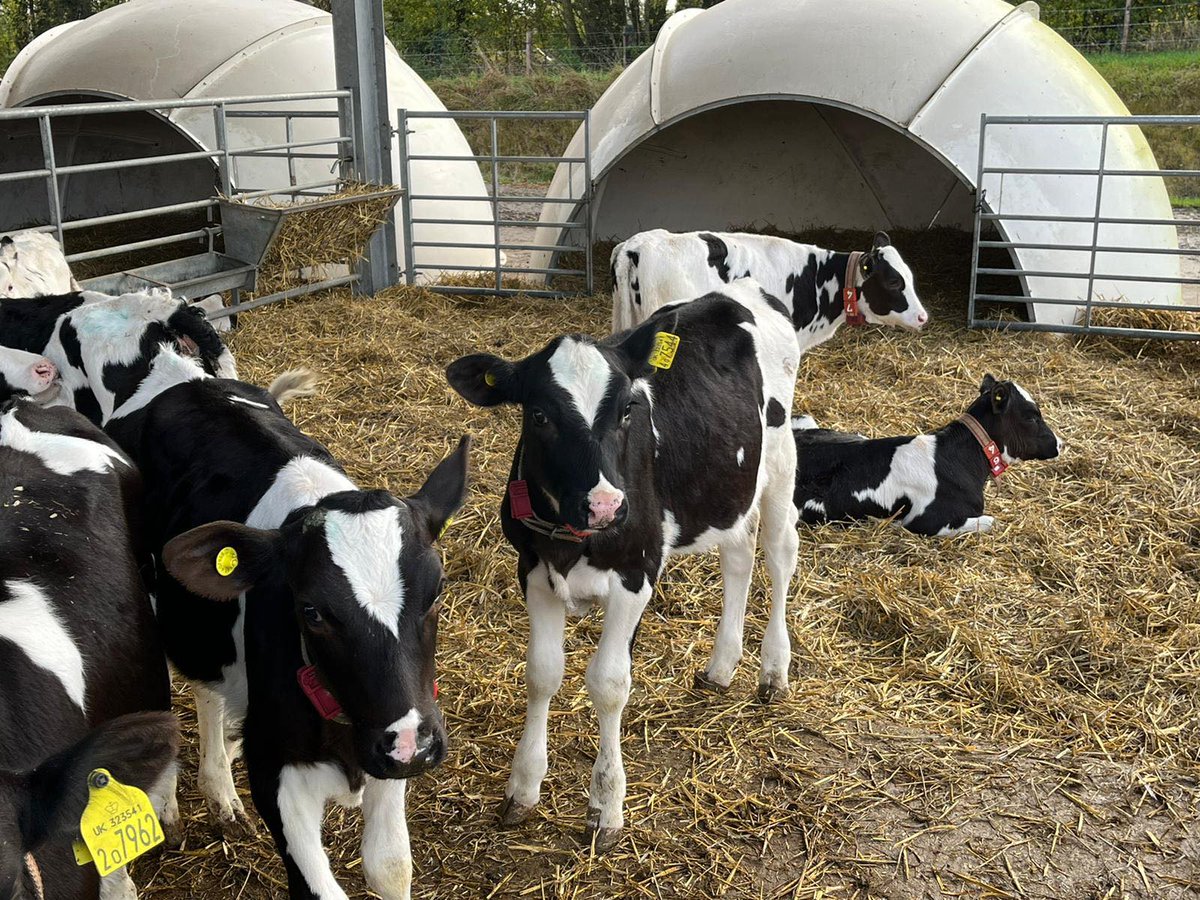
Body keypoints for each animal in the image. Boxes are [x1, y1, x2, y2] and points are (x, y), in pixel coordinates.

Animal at [105, 346, 470, 900]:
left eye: (437, 591)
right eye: (312, 611)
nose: (414, 745)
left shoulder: (388, 729)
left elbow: (389, 866)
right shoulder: (275, 769)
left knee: (208, 689)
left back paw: (220, 791)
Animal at [446, 277, 801, 852]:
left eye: (629, 411)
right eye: (539, 415)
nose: (607, 505)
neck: (573, 540)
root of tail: (740, 290)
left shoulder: (637, 572)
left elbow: (609, 683)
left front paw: (606, 805)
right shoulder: (532, 569)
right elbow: (542, 674)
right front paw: (523, 788)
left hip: (781, 457)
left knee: (779, 553)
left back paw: (773, 670)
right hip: (731, 485)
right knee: (739, 556)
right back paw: (721, 666)